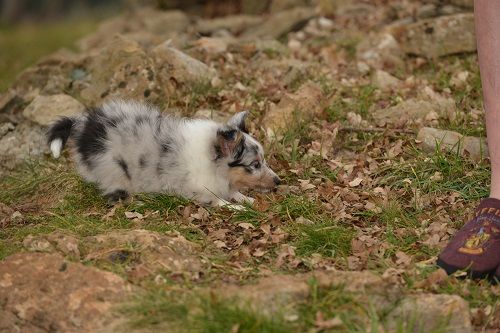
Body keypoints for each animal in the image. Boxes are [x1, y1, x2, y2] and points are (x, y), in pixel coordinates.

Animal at [47, 100, 282, 206]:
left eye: (263, 161)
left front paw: (246, 199)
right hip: (114, 168)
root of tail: (86, 126)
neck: (210, 160)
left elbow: (232, 191)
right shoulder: (198, 191)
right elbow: (218, 201)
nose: (279, 181)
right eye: (254, 165)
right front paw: (237, 208)